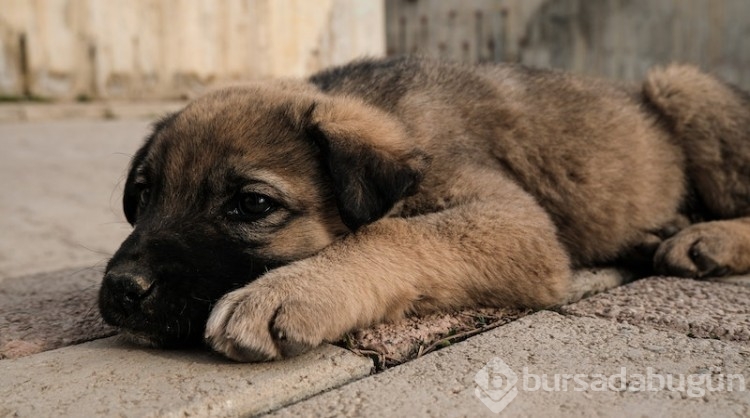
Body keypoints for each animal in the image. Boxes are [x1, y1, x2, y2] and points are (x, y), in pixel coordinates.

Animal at [98, 56, 750, 362]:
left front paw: (286, 291)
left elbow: (392, 235)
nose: (121, 291)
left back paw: (706, 240)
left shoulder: (517, 222)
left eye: (252, 205)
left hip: (680, 85)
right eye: (145, 195)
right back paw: (658, 233)